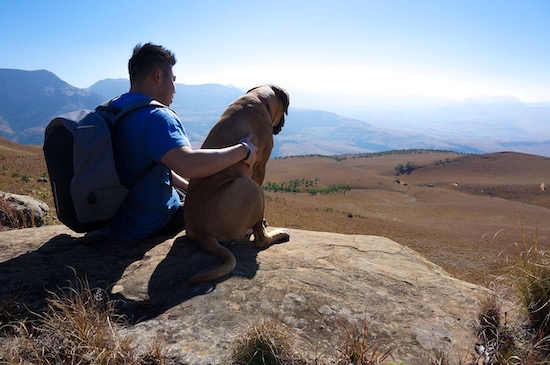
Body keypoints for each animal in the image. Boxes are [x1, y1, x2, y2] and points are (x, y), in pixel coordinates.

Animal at [183, 84, 292, 282]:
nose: (280, 127)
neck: (259, 97)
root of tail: (203, 234)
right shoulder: (259, 167)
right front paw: (263, 223)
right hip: (252, 189)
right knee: (260, 240)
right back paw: (276, 234)